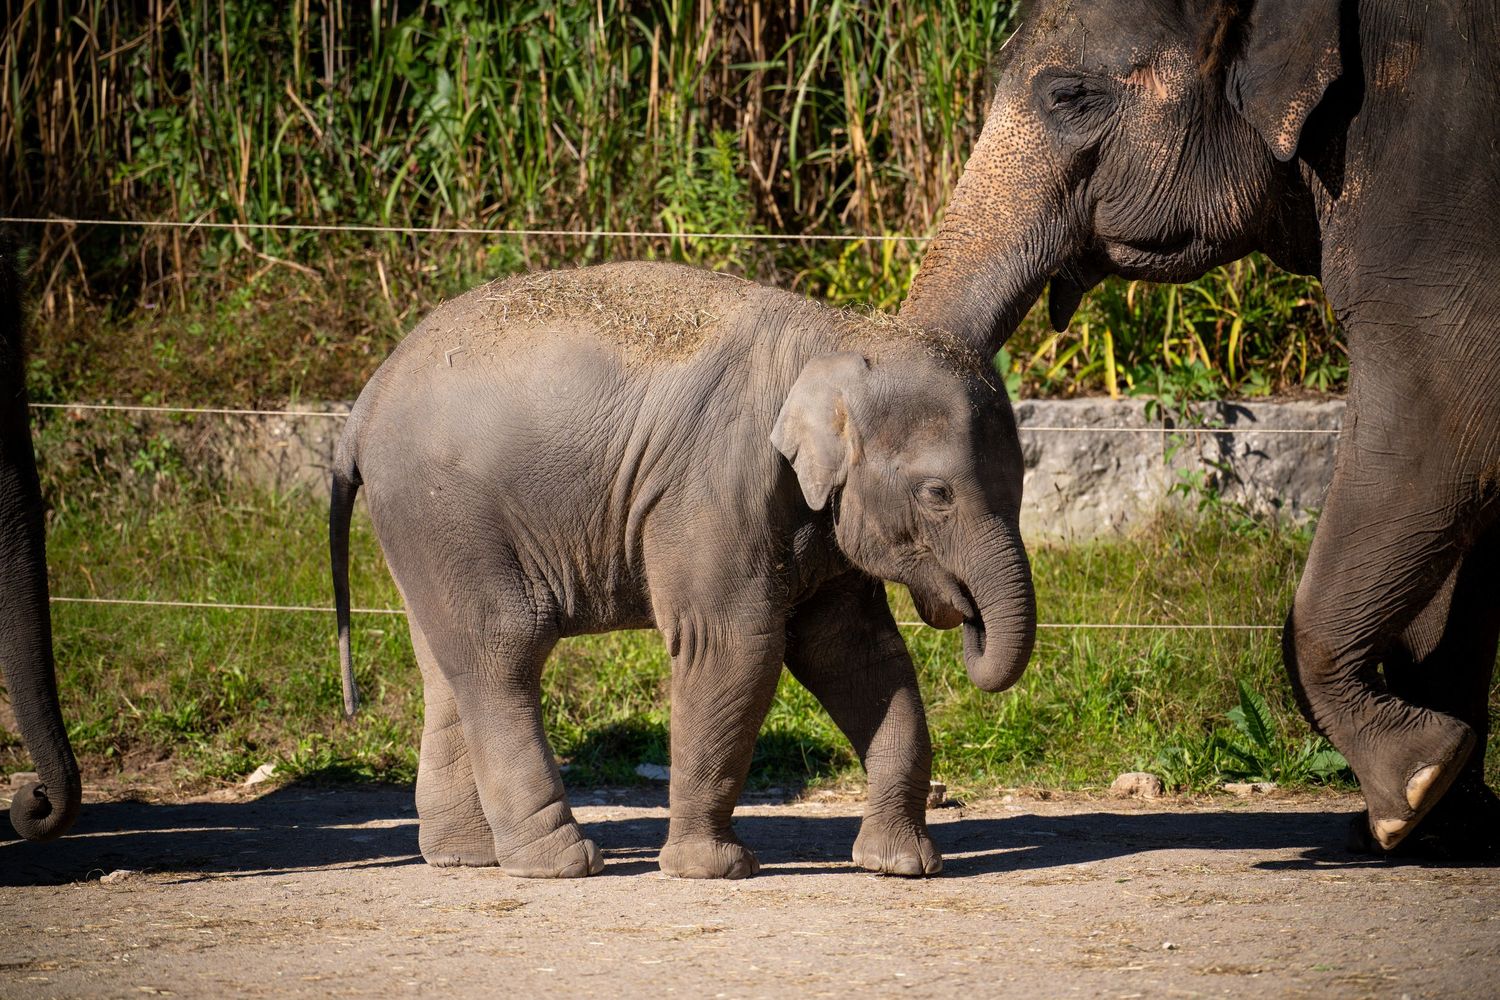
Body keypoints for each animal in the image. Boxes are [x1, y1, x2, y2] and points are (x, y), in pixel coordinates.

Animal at [329, 262, 1036, 879]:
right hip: (447, 510)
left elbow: (857, 654)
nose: (963, 614)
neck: (837, 337)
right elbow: (732, 646)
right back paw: (563, 864)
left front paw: (900, 866)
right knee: (502, 648)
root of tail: (361, 407)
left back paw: (468, 857)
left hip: (424, 530)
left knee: (443, 664)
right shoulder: (715, 486)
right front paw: (712, 869)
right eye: (938, 494)